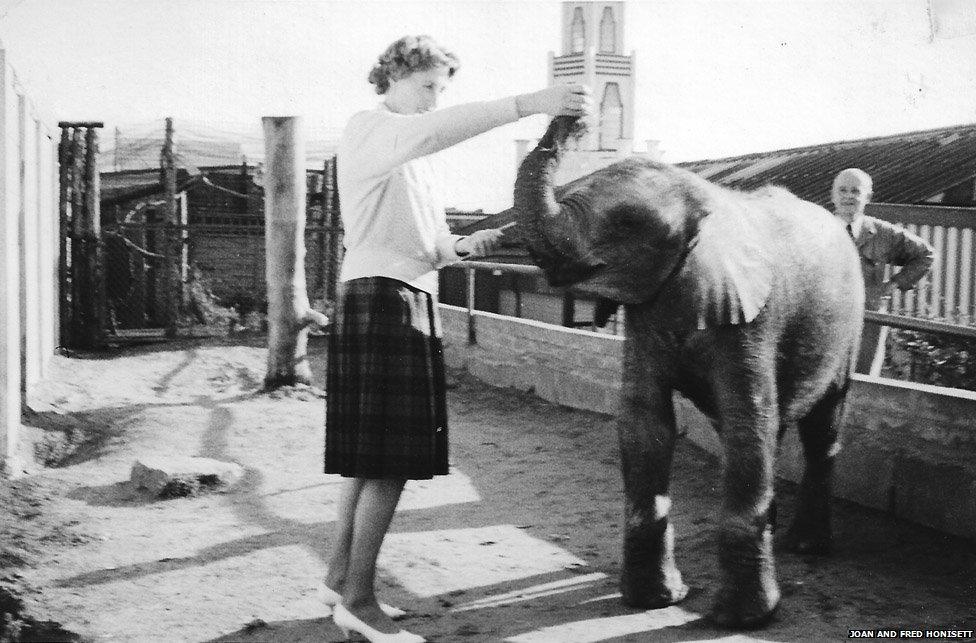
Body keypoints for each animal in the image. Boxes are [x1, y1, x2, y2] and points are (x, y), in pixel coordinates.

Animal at [510, 117, 860, 628]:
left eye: (627, 223)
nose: (574, 118)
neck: (703, 198)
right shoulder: (647, 311)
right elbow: (646, 423)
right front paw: (653, 600)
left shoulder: (752, 318)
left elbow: (746, 422)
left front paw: (743, 620)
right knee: (775, 433)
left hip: (848, 330)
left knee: (820, 428)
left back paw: (806, 547)